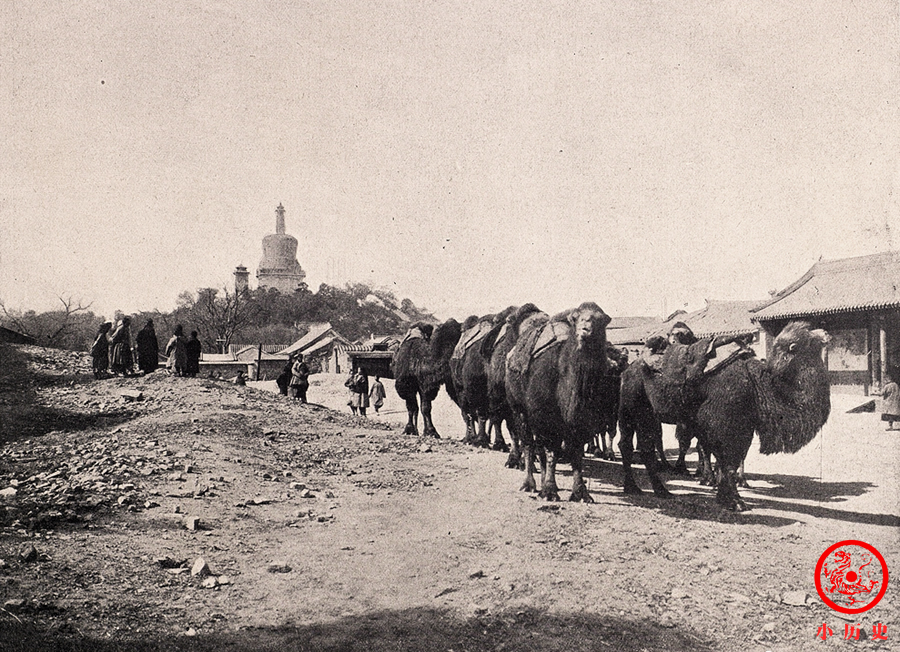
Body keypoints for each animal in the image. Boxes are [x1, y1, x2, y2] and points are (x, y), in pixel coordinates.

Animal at [506, 304, 612, 502]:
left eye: (601, 320)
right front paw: (549, 491)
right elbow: (551, 451)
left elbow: (576, 452)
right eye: (575, 318)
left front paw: (580, 493)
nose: (586, 330)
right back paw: (529, 484)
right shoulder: (545, 418)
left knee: (538, 447)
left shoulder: (583, 421)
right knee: (528, 443)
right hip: (519, 409)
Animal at [620, 320, 828, 510]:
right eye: (808, 343)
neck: (756, 383)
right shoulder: (723, 424)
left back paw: (660, 490)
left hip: (649, 414)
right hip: (631, 407)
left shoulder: (743, 427)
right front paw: (734, 501)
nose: (826, 334)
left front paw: (728, 497)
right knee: (629, 444)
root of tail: (630, 368)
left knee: (644, 447)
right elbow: (726, 460)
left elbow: (731, 461)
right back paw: (635, 488)